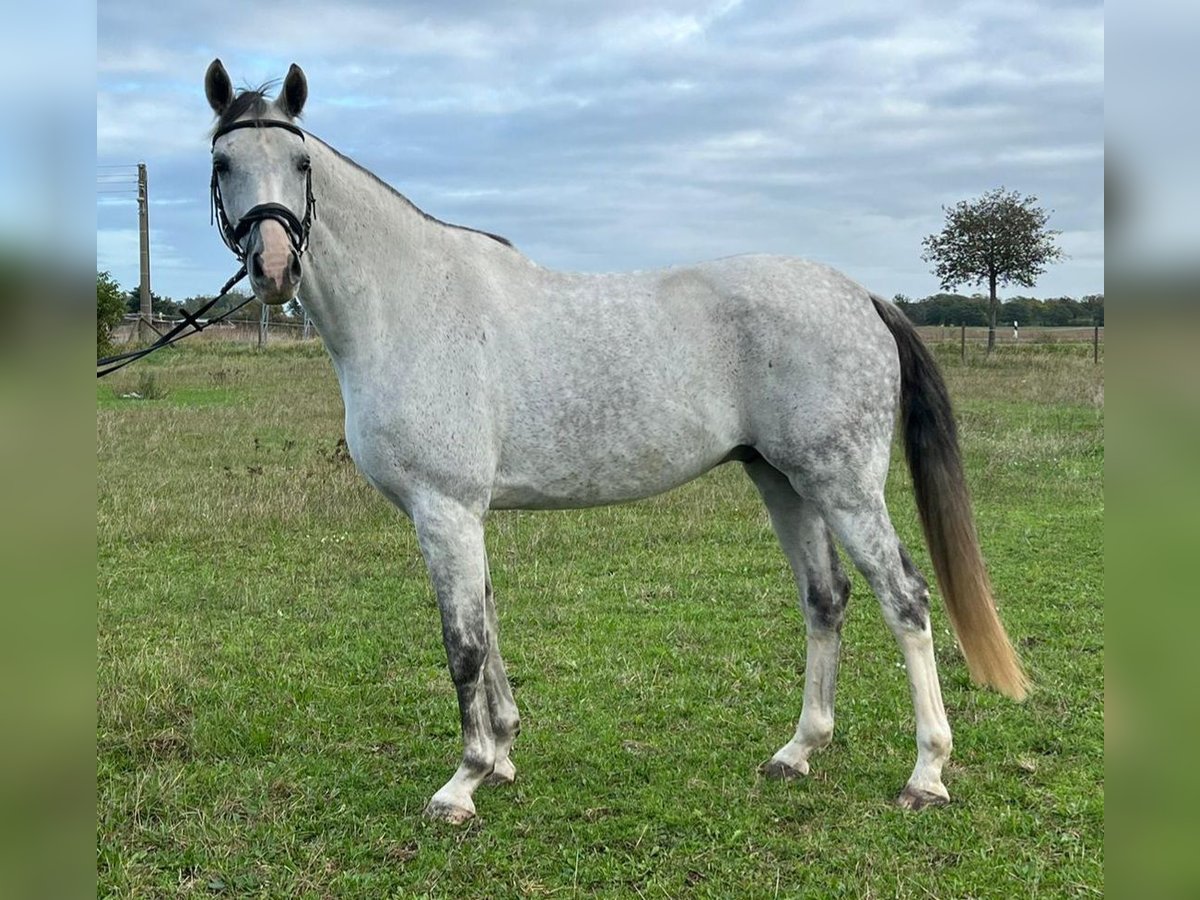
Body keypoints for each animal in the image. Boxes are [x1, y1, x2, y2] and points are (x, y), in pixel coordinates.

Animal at [204, 61, 1022, 825]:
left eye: (300, 162)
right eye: (223, 163)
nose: (273, 269)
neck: (409, 303)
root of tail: (862, 296)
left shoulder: (445, 509)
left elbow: (463, 645)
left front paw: (462, 782)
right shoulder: (465, 517)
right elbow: (488, 625)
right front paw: (502, 756)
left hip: (843, 486)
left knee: (905, 599)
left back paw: (927, 773)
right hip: (785, 481)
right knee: (826, 599)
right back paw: (798, 751)